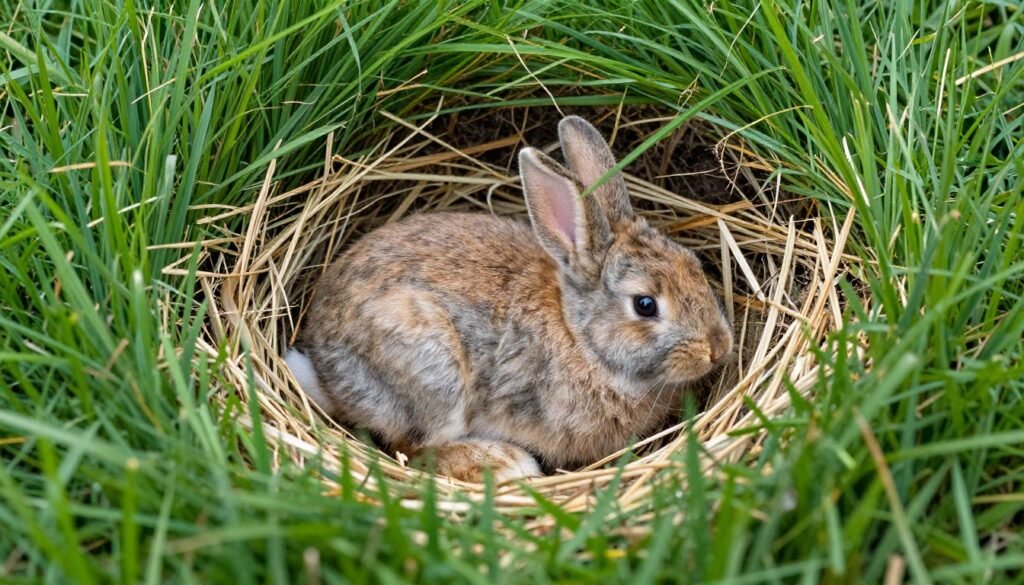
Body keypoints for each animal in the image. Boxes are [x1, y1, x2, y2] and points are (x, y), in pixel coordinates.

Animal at [286, 116, 732, 482]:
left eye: (694, 264)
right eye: (645, 304)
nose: (718, 349)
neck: (581, 340)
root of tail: (325, 371)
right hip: (430, 370)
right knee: (411, 448)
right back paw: (503, 463)